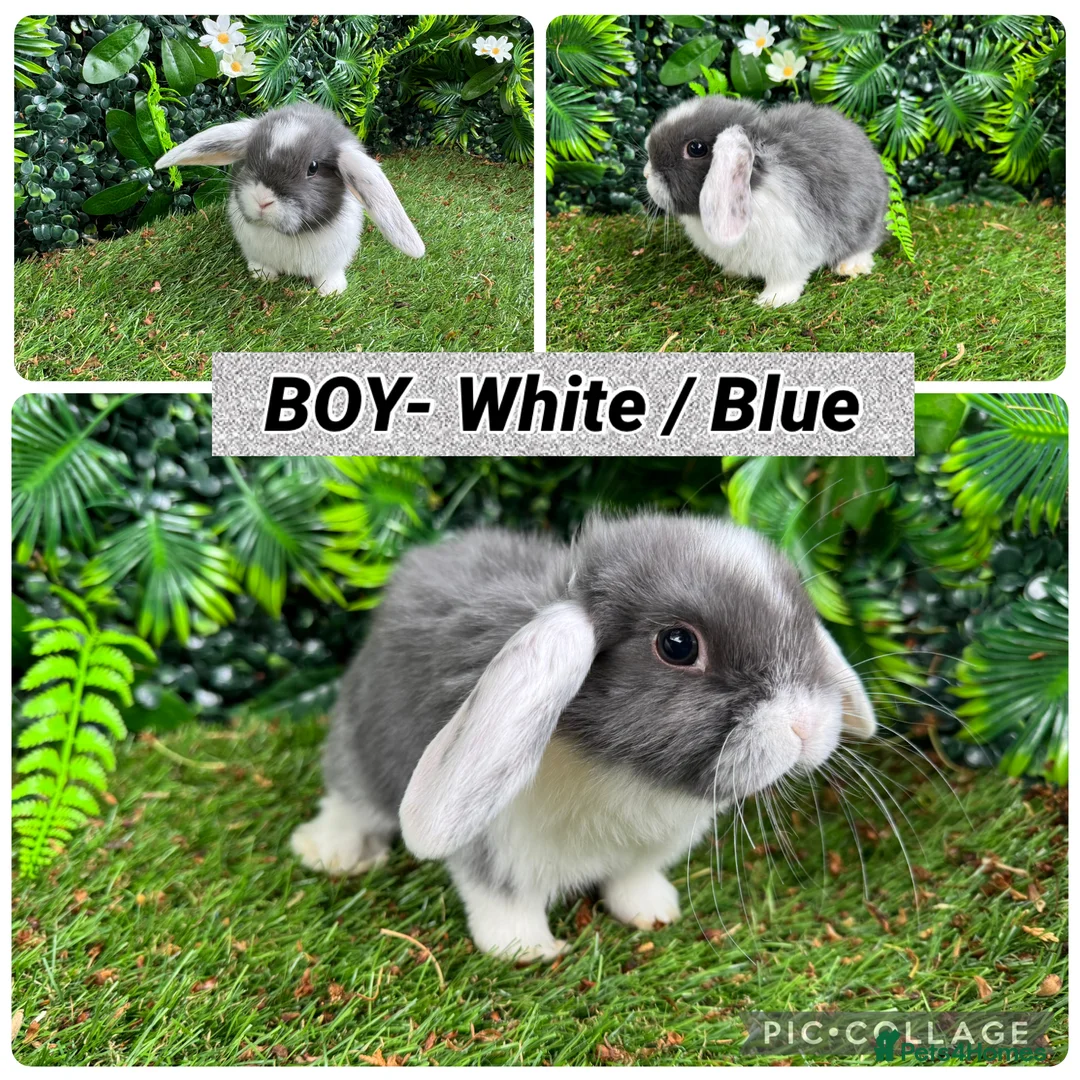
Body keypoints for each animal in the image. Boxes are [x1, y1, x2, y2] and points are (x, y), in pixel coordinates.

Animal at [155, 102, 424, 295]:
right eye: (249, 158)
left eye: (313, 168)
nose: (262, 199)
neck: (289, 236)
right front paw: (262, 275)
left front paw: (332, 290)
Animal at [290, 515, 876, 962]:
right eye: (678, 645)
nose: (805, 724)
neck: (620, 770)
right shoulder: (499, 849)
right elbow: (503, 900)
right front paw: (525, 950)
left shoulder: (643, 852)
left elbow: (633, 880)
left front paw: (654, 912)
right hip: (357, 744)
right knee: (350, 799)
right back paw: (330, 852)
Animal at [644, 98, 889, 307]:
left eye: (695, 148)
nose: (646, 173)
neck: (755, 187)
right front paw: (731, 273)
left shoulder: (792, 251)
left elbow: (787, 280)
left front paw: (771, 301)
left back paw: (850, 266)